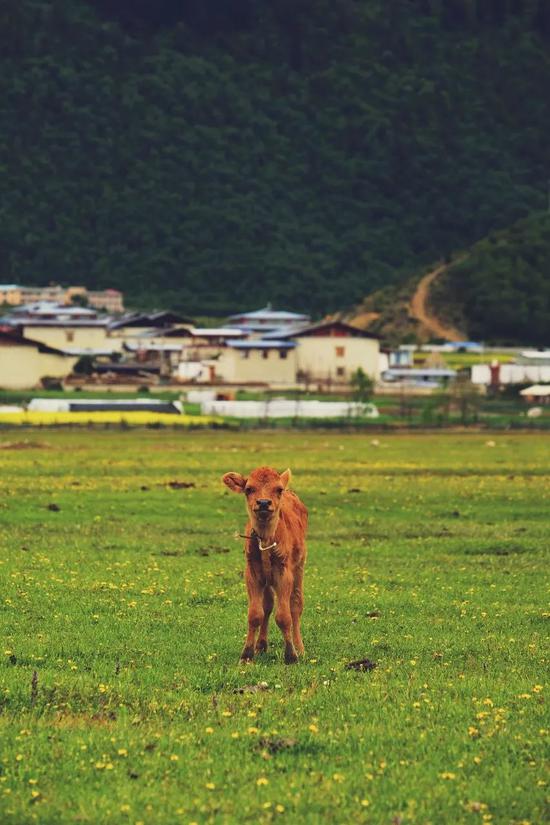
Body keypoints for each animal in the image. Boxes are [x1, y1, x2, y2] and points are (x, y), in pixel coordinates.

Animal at [224, 464, 310, 664]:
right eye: (249, 489)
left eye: (278, 489)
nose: (263, 503)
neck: (265, 539)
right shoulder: (253, 574)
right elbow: (256, 614)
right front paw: (247, 654)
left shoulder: (283, 573)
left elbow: (284, 616)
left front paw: (291, 655)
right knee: (268, 605)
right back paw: (261, 645)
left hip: (299, 569)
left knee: (296, 605)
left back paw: (300, 648)